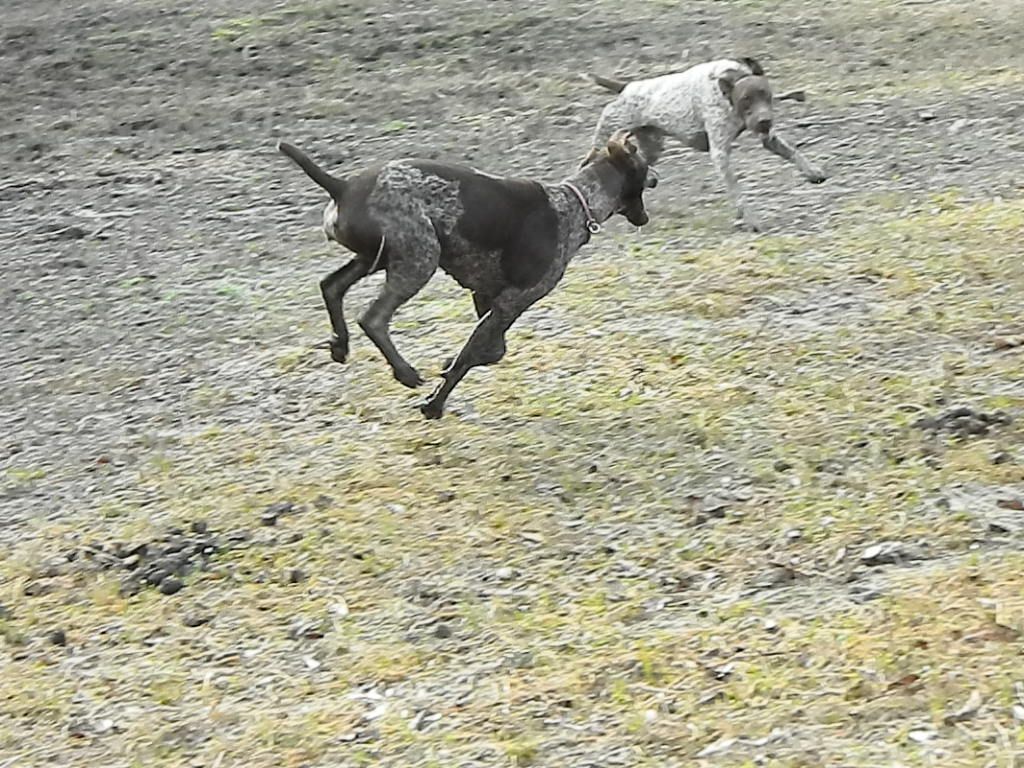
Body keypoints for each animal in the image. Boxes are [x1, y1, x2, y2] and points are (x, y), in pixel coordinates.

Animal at [278, 131, 650, 419]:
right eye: (647, 171)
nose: (657, 178)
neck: (575, 203)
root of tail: (342, 187)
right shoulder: (511, 302)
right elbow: (472, 355)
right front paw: (434, 404)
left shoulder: (485, 297)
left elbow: (492, 350)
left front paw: (448, 362)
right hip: (419, 259)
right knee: (373, 318)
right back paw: (404, 372)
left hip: (376, 258)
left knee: (331, 287)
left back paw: (340, 345)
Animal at [588, 57, 826, 231]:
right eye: (746, 100)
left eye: (766, 95)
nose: (764, 121)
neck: (730, 83)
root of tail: (625, 88)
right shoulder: (720, 153)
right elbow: (737, 192)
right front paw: (750, 218)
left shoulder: (769, 139)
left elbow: (794, 152)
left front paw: (812, 171)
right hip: (604, 145)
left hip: (651, 148)